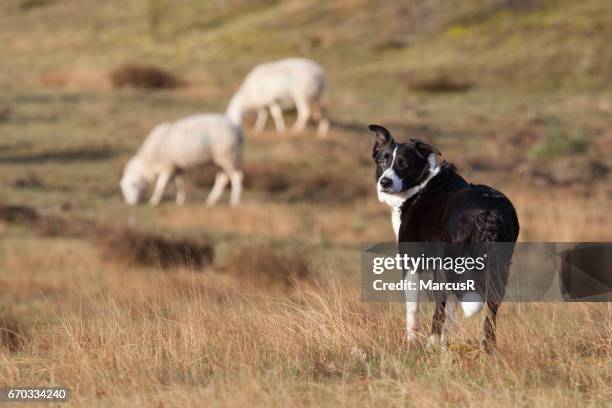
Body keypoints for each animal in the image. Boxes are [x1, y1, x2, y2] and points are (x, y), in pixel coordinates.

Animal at [370, 124, 520, 350]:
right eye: (382, 161)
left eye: (404, 163)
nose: (385, 182)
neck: (421, 183)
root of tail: (488, 214)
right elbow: (451, 312)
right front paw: (444, 346)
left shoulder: (412, 263)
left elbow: (413, 309)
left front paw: (412, 342)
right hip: (498, 267)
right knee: (491, 311)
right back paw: (488, 347)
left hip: (445, 267)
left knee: (439, 309)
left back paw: (430, 344)